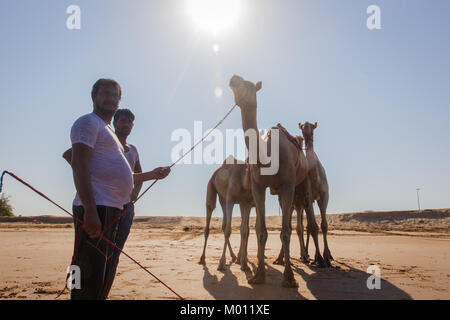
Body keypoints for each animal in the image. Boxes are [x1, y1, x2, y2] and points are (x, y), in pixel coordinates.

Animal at [229, 75, 324, 288]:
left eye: (248, 84)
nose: (233, 78)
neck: (267, 156)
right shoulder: (258, 186)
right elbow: (261, 231)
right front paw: (259, 275)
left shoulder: (288, 185)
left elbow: (286, 231)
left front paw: (289, 278)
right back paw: (281, 259)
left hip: (303, 183)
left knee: (305, 219)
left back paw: (320, 260)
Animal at [298, 120, 334, 264]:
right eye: (302, 126)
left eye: (312, 126)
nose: (306, 127)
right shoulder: (308, 197)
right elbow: (314, 227)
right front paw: (319, 258)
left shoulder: (324, 196)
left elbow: (324, 225)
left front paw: (327, 256)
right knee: (304, 226)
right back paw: (304, 255)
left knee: (306, 226)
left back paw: (309, 254)